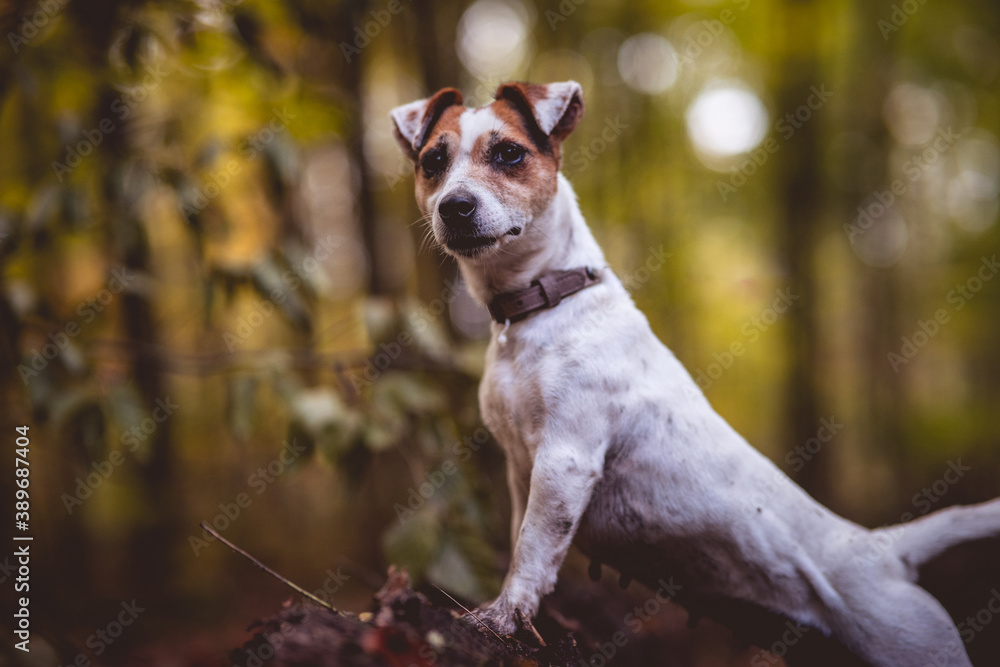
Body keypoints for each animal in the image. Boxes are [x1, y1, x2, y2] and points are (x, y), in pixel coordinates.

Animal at [392, 81, 1000, 664]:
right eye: (433, 160)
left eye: (509, 153)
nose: (455, 206)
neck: (541, 306)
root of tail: (885, 550)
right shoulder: (522, 469)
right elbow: (522, 541)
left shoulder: (565, 459)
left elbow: (533, 551)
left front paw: (502, 617)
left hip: (917, 643)